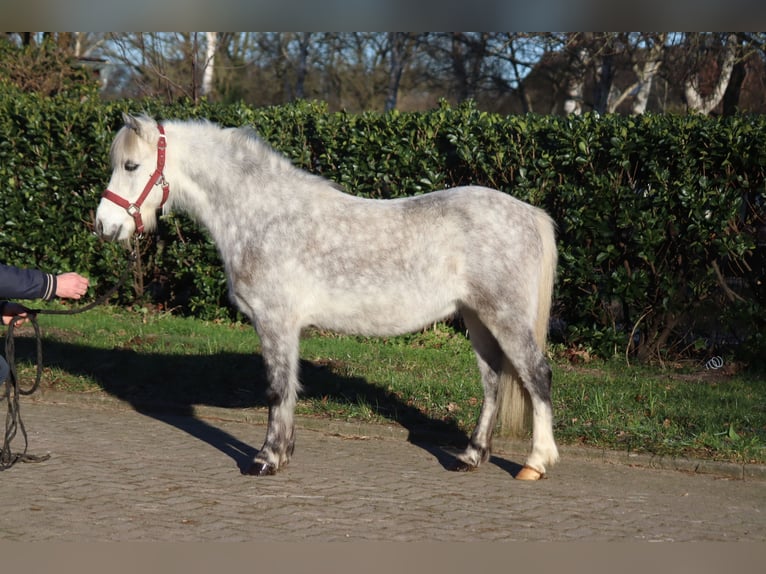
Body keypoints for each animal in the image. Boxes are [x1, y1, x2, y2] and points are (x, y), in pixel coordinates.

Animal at [97, 113, 564, 482]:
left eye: (131, 165)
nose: (104, 226)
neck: (264, 216)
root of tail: (529, 213)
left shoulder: (274, 321)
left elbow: (277, 389)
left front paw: (265, 460)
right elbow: (287, 388)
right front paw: (282, 453)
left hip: (504, 316)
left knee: (536, 376)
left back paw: (535, 463)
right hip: (477, 318)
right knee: (493, 382)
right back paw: (471, 456)